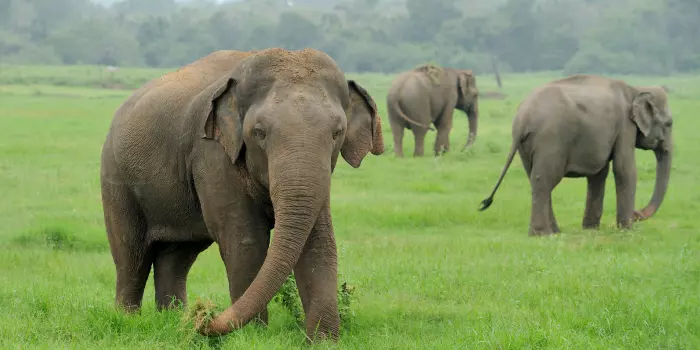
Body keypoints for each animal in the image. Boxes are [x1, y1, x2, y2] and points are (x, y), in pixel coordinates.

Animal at [99, 47, 386, 340]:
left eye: (337, 133)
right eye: (259, 132)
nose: (203, 314)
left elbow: (318, 241)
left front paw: (323, 340)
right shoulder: (212, 155)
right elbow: (245, 242)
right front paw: (252, 336)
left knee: (177, 256)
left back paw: (173, 319)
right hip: (115, 178)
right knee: (131, 255)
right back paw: (129, 318)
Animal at [478, 75, 668, 237]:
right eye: (669, 123)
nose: (637, 214)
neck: (636, 89)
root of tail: (522, 118)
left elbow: (599, 174)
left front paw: (591, 229)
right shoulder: (625, 125)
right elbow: (624, 169)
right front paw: (627, 230)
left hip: (525, 146)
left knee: (535, 178)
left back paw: (554, 232)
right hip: (550, 139)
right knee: (544, 178)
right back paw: (542, 234)